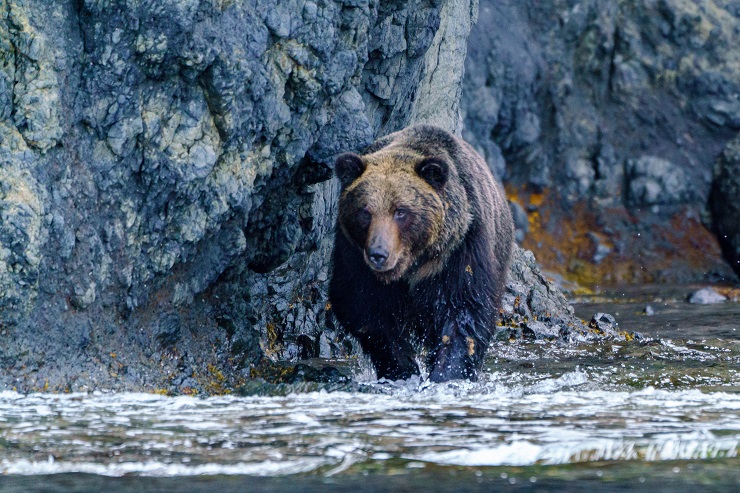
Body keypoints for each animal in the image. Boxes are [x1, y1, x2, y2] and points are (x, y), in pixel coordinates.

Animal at [330, 125, 516, 382]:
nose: (378, 253)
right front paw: (403, 369)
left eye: (401, 211)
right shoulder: (354, 258)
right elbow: (366, 312)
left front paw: (446, 373)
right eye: (365, 212)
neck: (412, 265)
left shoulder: (461, 250)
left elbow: (465, 311)